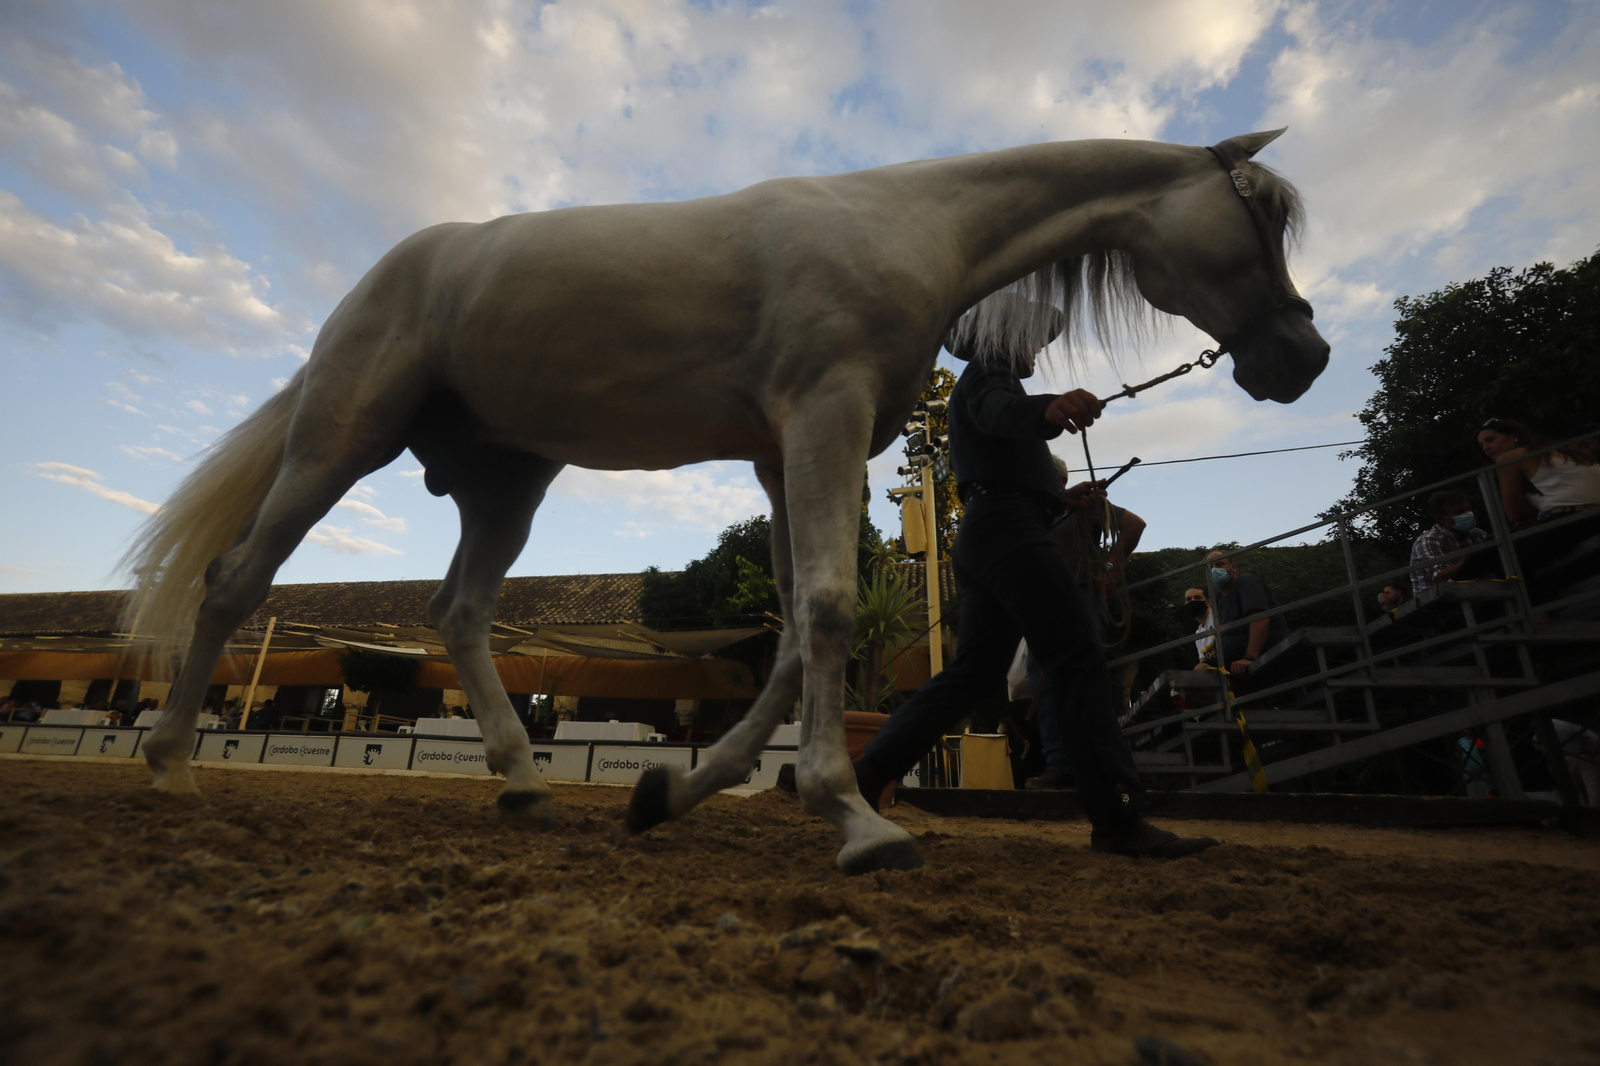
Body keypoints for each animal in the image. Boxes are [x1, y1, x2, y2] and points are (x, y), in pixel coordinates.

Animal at [122, 128, 1328, 876]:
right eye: (1262, 219)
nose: (1305, 355)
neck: (909, 225)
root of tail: (391, 275)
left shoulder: (782, 457)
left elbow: (795, 628)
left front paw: (682, 792)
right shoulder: (821, 421)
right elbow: (829, 611)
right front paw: (854, 819)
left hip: (508, 483)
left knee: (459, 613)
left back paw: (522, 784)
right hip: (342, 438)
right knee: (235, 581)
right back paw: (171, 766)